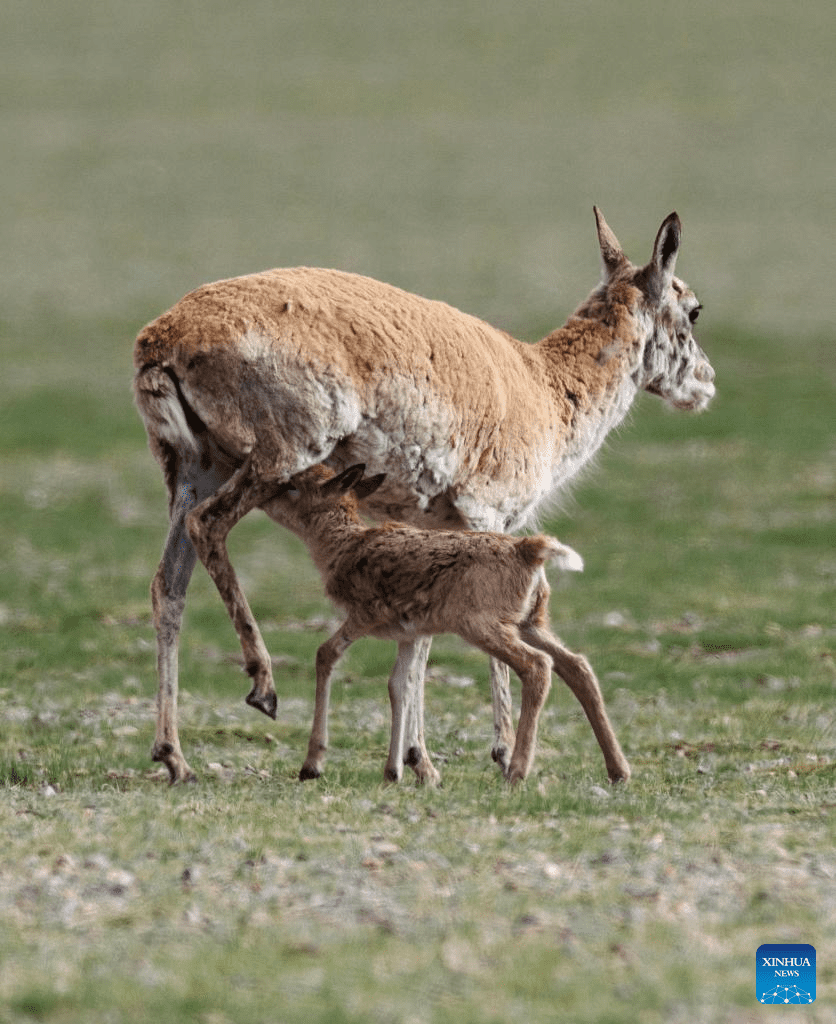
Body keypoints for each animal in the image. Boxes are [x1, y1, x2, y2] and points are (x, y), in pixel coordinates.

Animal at [264, 462, 631, 782]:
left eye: (295, 486)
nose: (265, 497)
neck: (344, 545)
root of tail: (529, 548)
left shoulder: (366, 615)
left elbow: (326, 653)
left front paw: (312, 764)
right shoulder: (410, 633)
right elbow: (400, 684)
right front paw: (395, 772)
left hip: (482, 626)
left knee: (538, 665)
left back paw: (516, 771)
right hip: (532, 623)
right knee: (577, 665)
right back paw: (618, 770)